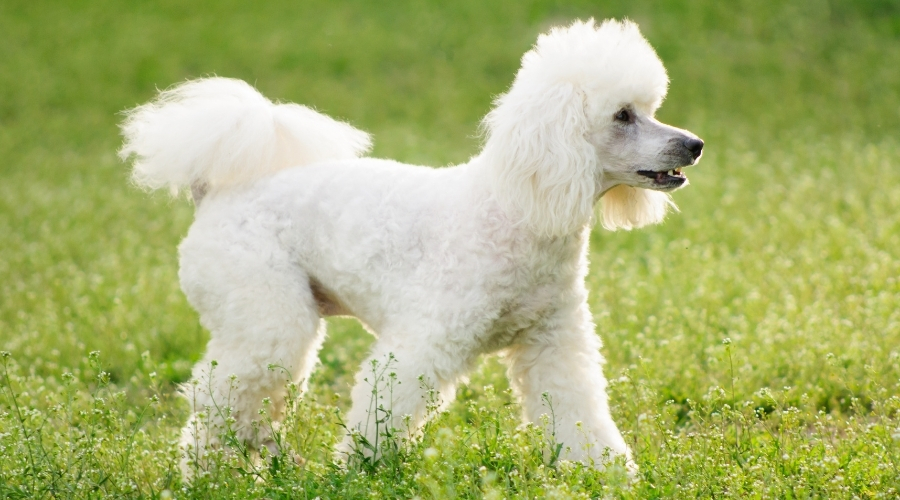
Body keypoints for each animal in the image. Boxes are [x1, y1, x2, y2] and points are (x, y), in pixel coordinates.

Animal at [121, 17, 704, 474]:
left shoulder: (553, 342)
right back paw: (206, 474)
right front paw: (357, 472)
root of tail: (213, 193)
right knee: (218, 400)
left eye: (649, 107)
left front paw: (605, 474)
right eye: (622, 115)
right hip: (266, 318)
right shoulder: (426, 340)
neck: (515, 210)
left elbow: (577, 409)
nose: (694, 145)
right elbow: (386, 406)